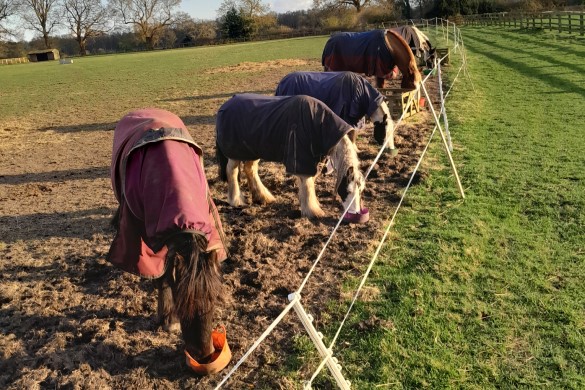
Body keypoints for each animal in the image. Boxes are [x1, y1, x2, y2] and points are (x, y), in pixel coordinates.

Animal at [214, 93, 364, 218]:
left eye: (361, 190)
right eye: (348, 190)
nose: (355, 212)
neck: (318, 123)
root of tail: (225, 106)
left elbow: (310, 183)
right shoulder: (301, 159)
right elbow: (307, 185)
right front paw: (313, 211)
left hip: (252, 150)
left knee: (250, 170)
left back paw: (262, 197)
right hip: (235, 154)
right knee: (232, 172)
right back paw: (236, 200)